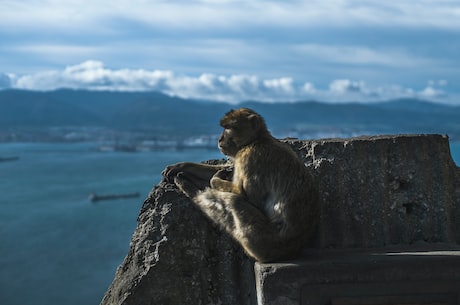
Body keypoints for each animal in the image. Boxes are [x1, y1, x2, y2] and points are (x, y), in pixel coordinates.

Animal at [163, 107, 320, 262]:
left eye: (228, 128)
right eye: (224, 127)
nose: (220, 139)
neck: (256, 140)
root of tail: (293, 249)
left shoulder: (250, 157)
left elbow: (248, 198)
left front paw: (215, 179)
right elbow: (229, 170)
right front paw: (181, 166)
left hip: (263, 241)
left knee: (234, 202)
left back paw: (190, 189)